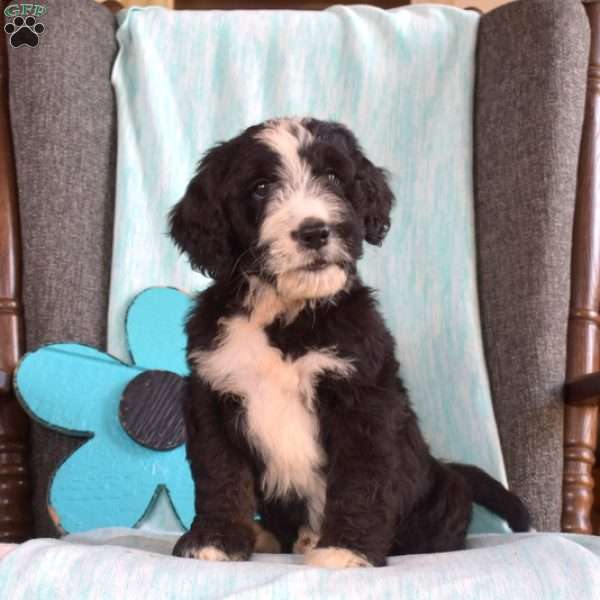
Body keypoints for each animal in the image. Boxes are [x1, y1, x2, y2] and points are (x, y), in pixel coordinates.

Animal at [170, 116, 528, 568]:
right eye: (261, 188)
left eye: (333, 177)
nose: (314, 232)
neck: (285, 315)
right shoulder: (213, 393)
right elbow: (220, 475)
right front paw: (215, 539)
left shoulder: (363, 399)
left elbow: (361, 480)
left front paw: (346, 549)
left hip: (444, 492)